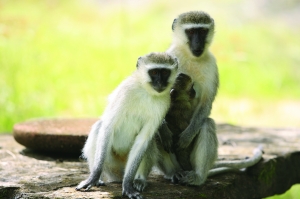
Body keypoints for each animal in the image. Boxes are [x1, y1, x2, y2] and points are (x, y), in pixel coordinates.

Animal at [76, 51, 178, 199]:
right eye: (153, 72)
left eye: (165, 72)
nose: (159, 82)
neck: (146, 92)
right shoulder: (125, 92)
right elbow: (108, 128)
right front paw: (93, 177)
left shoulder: (164, 103)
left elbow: (143, 140)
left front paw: (128, 184)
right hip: (113, 166)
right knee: (99, 127)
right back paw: (99, 178)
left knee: (149, 141)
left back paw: (139, 179)